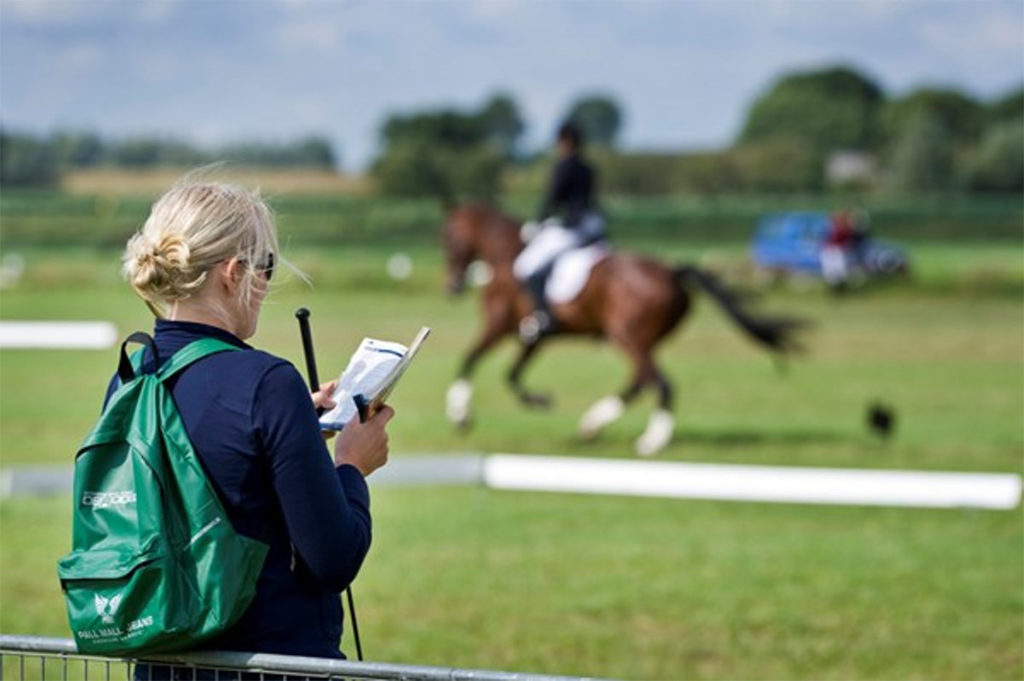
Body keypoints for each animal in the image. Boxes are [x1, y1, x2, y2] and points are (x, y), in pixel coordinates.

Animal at [444, 202, 802, 456]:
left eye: (449, 239)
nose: (452, 287)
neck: (506, 256)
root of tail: (672, 271)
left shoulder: (499, 326)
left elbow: (468, 360)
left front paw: (459, 415)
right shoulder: (535, 337)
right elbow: (512, 375)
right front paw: (540, 400)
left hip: (629, 337)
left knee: (659, 383)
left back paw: (651, 441)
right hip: (637, 340)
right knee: (641, 381)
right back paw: (592, 426)